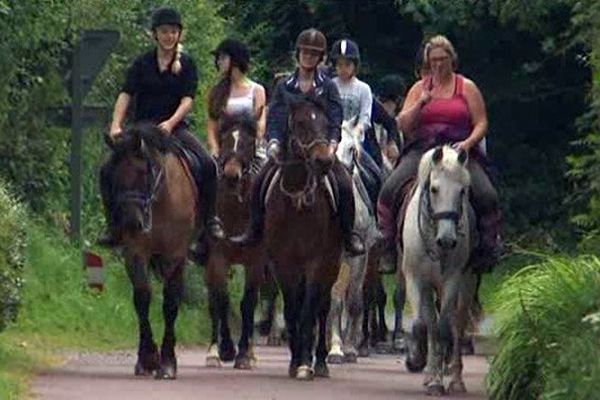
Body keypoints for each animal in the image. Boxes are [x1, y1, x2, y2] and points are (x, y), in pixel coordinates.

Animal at [102, 123, 198, 380]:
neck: (160, 199)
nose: (130, 222)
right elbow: (142, 297)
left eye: (144, 172)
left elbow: (170, 303)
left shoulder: (175, 255)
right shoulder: (135, 252)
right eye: (113, 175)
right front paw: (147, 359)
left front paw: (167, 362)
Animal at [262, 97, 342, 382]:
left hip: (332, 265)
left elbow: (308, 312)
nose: (324, 160)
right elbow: (292, 310)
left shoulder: (316, 263)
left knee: (323, 308)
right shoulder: (283, 264)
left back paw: (320, 361)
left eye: (325, 123)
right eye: (300, 123)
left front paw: (305, 364)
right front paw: (295, 359)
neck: (296, 200)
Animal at [400, 145, 480, 396]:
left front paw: (440, 380)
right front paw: (418, 362)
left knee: (457, 325)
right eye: (434, 189)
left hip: (467, 284)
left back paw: (454, 379)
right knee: (431, 324)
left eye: (462, 191)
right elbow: (421, 325)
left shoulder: (453, 279)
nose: (447, 240)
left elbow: (444, 327)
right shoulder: (415, 278)